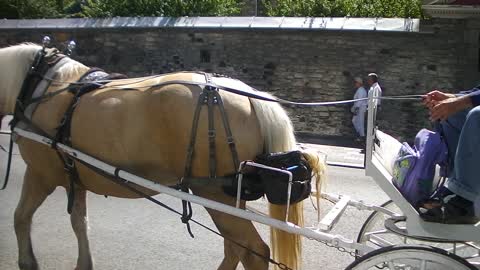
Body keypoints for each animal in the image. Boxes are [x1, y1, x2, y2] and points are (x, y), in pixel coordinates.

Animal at [0, 44, 326, 270]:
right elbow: (79, 223)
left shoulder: (40, 174)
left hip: (213, 193)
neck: (41, 86)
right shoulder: (74, 176)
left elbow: (20, 217)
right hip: (227, 200)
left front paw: (27, 262)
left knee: (252, 251)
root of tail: (247, 95)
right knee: (235, 248)